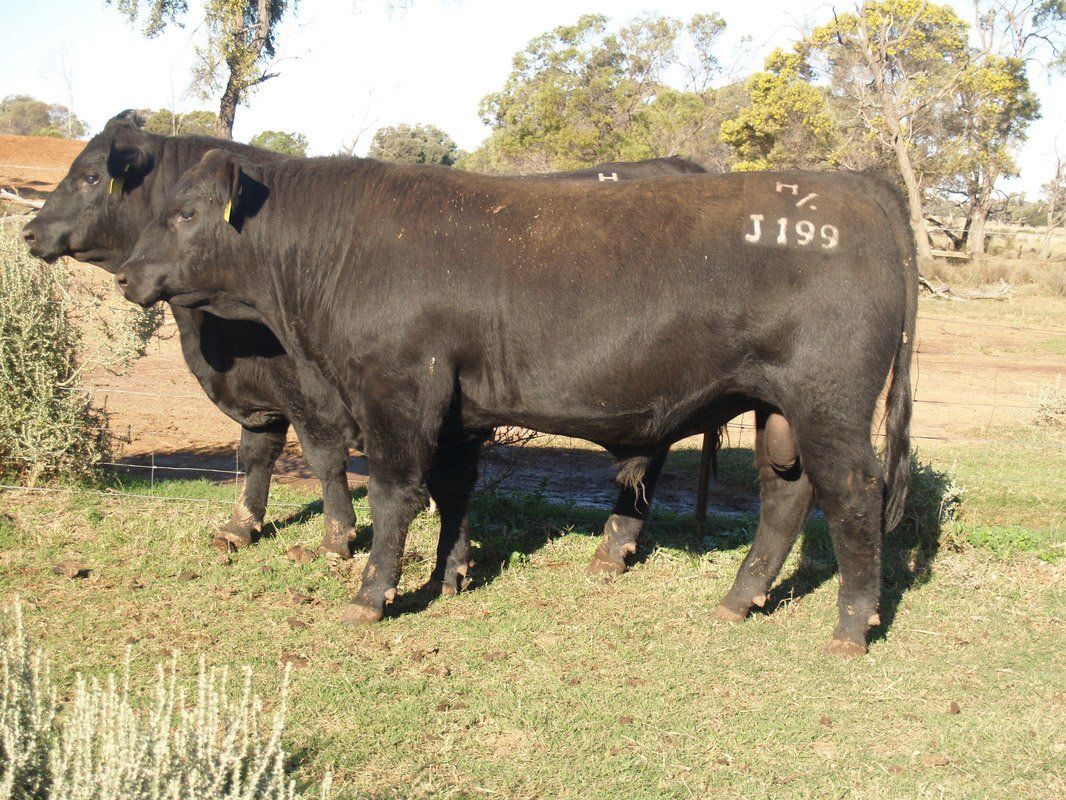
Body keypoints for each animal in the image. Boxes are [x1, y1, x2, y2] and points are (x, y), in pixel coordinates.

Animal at [21, 110, 714, 589]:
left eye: (89, 176)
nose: (28, 231)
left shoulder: (316, 392)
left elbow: (325, 462)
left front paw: (336, 540)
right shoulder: (269, 393)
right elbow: (257, 453)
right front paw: (241, 527)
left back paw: (610, 552)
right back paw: (612, 553)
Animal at [116, 149, 916, 655]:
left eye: (186, 213)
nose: (126, 273)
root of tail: (860, 188)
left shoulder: (397, 392)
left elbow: (396, 495)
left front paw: (372, 594)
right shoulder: (455, 409)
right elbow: (452, 489)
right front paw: (452, 575)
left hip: (830, 404)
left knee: (852, 495)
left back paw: (850, 628)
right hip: (778, 407)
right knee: (787, 496)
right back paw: (736, 600)